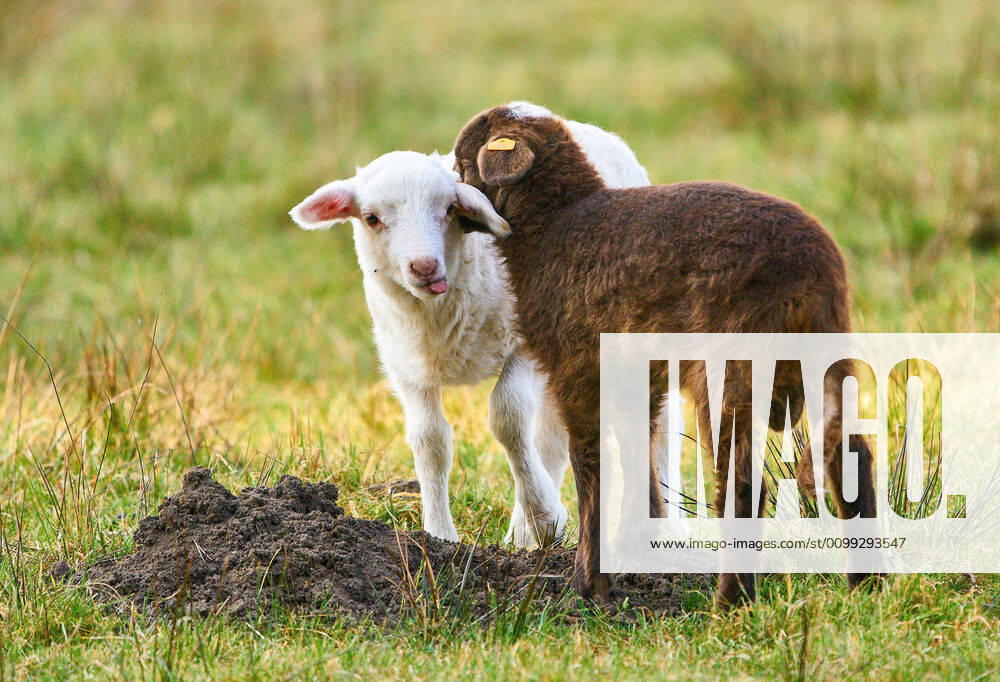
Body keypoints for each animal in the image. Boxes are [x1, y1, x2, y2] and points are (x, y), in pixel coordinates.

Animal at [289, 103, 651, 548]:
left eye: (449, 209)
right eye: (372, 218)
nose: (424, 267)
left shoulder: (523, 344)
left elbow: (509, 418)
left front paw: (545, 517)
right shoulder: (405, 364)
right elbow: (430, 441)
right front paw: (440, 536)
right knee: (554, 434)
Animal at [452, 104, 878, 606]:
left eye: (461, 163)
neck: (553, 226)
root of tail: (811, 270)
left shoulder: (580, 366)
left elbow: (590, 463)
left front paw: (589, 584)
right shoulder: (636, 370)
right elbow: (637, 447)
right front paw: (640, 554)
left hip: (732, 364)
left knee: (744, 482)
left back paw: (731, 602)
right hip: (825, 357)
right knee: (851, 457)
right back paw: (868, 589)